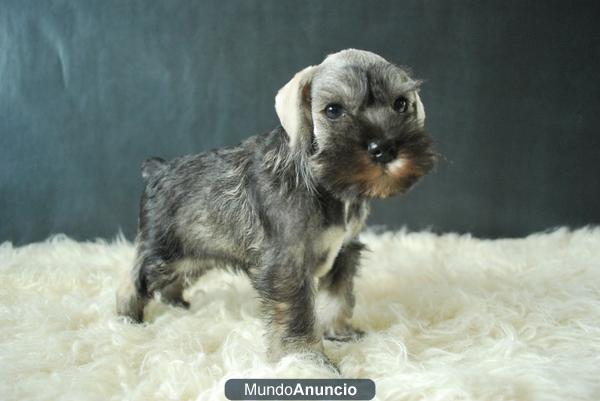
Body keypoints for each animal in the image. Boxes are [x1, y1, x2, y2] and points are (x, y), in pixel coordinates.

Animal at [116, 48, 436, 364]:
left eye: (400, 104)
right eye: (333, 110)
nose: (384, 148)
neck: (322, 179)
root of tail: (157, 169)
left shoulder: (344, 251)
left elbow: (338, 296)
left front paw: (339, 333)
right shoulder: (287, 262)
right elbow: (298, 312)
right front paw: (305, 358)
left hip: (196, 254)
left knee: (172, 280)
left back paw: (178, 304)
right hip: (162, 253)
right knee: (132, 280)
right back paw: (127, 320)